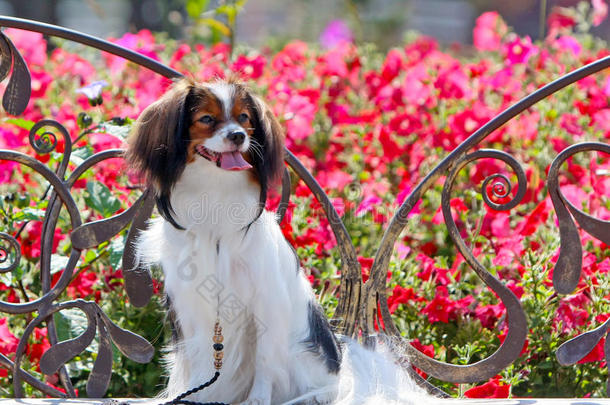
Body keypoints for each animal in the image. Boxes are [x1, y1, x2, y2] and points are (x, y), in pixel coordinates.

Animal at [126, 77, 430, 402]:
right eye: (206, 119)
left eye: (244, 118)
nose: (237, 136)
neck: (216, 190)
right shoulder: (191, 306)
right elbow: (197, 359)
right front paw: (193, 395)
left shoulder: (266, 302)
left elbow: (264, 358)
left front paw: (258, 399)